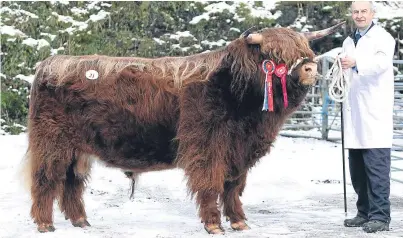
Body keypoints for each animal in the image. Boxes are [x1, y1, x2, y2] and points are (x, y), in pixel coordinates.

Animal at [22, 21, 344, 234]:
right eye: (274, 55)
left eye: (304, 49)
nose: (310, 68)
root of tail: (51, 63)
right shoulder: (207, 146)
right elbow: (211, 184)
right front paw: (214, 224)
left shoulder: (239, 152)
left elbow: (233, 186)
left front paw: (239, 221)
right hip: (52, 143)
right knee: (45, 179)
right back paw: (45, 224)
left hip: (78, 150)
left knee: (71, 182)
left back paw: (81, 221)